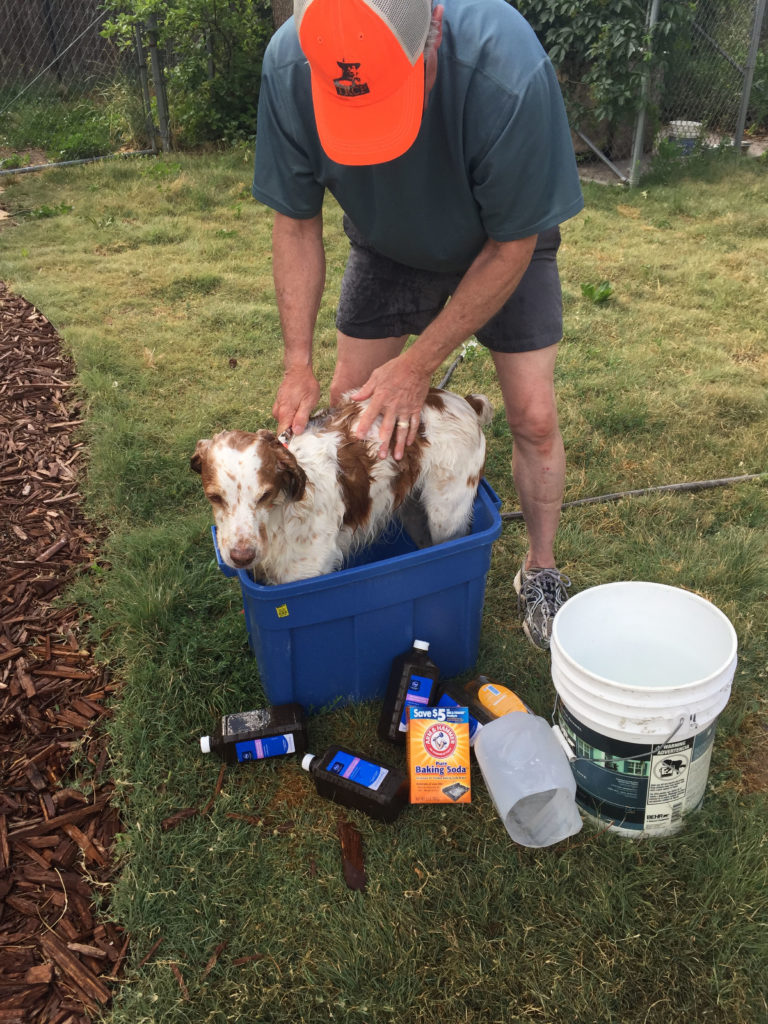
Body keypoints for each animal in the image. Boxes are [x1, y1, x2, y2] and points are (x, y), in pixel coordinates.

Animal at [192, 387, 493, 585]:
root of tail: (463, 401)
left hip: (446, 516)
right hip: (413, 511)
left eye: (265, 495)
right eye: (214, 498)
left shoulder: (306, 573)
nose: (242, 557)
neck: (282, 517)